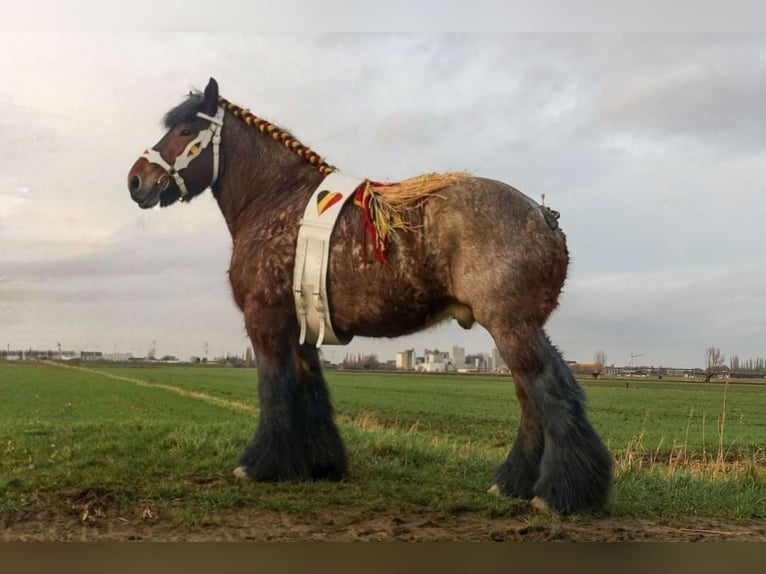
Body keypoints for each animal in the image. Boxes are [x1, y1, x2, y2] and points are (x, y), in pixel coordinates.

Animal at [127, 77, 612, 514]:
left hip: (512, 326)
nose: (136, 181)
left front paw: (259, 465)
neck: (276, 200)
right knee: (530, 398)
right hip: (518, 328)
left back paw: (559, 494)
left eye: (185, 131)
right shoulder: (302, 326)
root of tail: (544, 217)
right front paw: (320, 464)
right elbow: (309, 389)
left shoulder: (264, 321)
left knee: (551, 391)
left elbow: (274, 389)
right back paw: (513, 484)